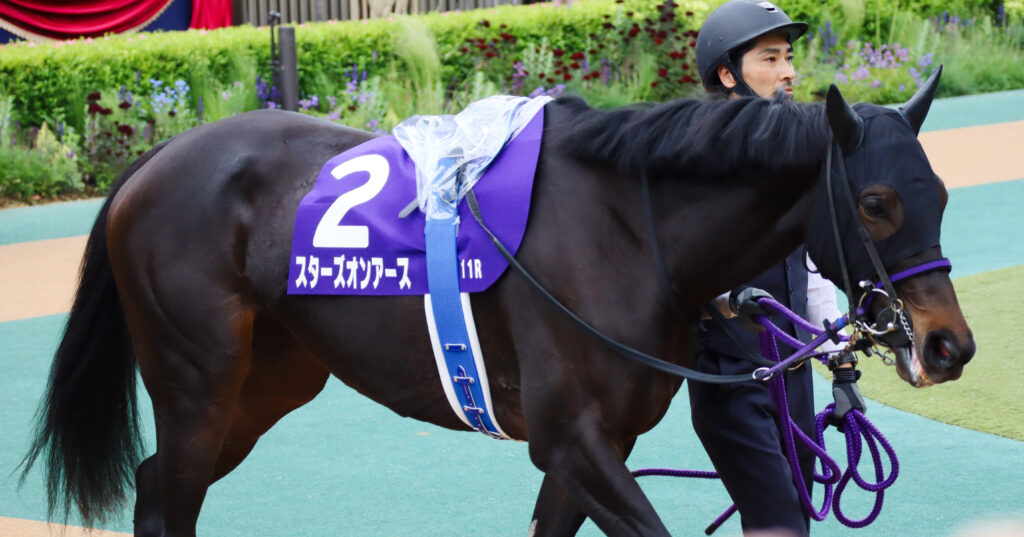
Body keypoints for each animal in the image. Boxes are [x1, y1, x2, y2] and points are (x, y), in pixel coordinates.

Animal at [22, 68, 974, 537]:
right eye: (876, 202)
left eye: (939, 193)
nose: (947, 344)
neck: (627, 227)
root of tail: (154, 161)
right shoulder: (572, 437)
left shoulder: (593, 445)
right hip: (198, 380)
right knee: (168, 494)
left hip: (269, 382)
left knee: (160, 484)